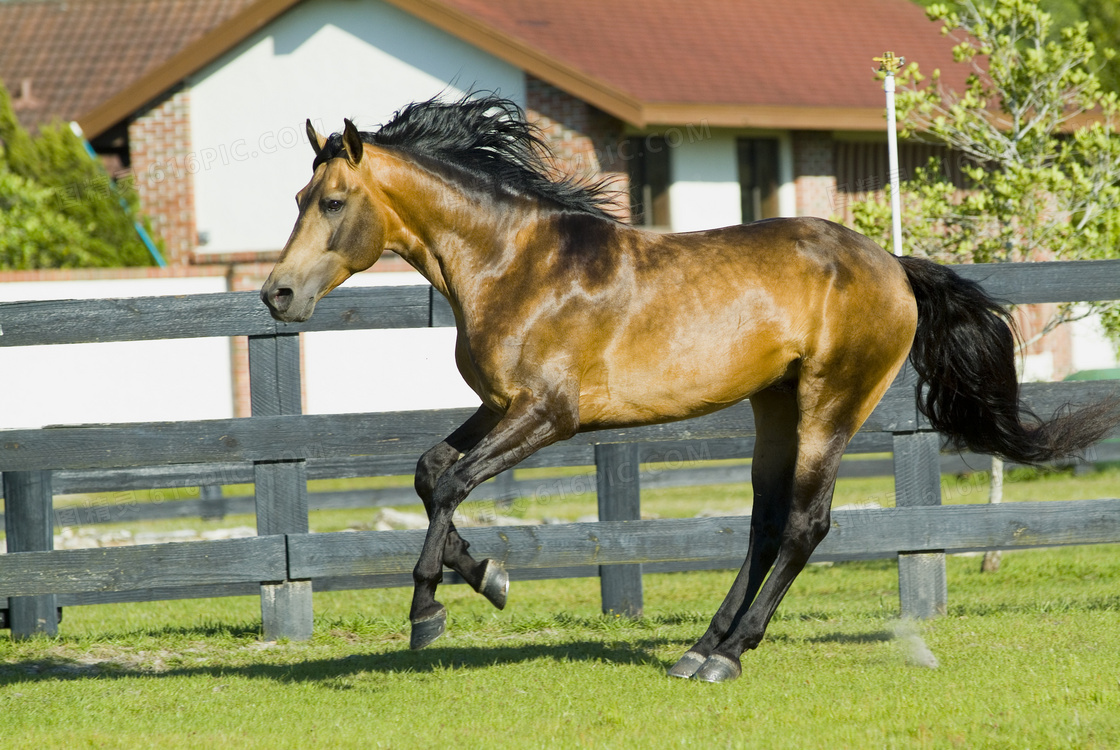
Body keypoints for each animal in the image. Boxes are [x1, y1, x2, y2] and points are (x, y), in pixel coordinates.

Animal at [262, 94, 1120, 680]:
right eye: (298, 200)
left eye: (332, 202)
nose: (277, 295)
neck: (516, 265)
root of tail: (893, 266)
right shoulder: (500, 407)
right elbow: (430, 471)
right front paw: (490, 577)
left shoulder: (548, 415)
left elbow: (451, 484)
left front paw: (429, 609)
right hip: (774, 405)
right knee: (765, 524)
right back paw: (702, 647)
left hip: (831, 405)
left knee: (805, 525)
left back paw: (731, 653)